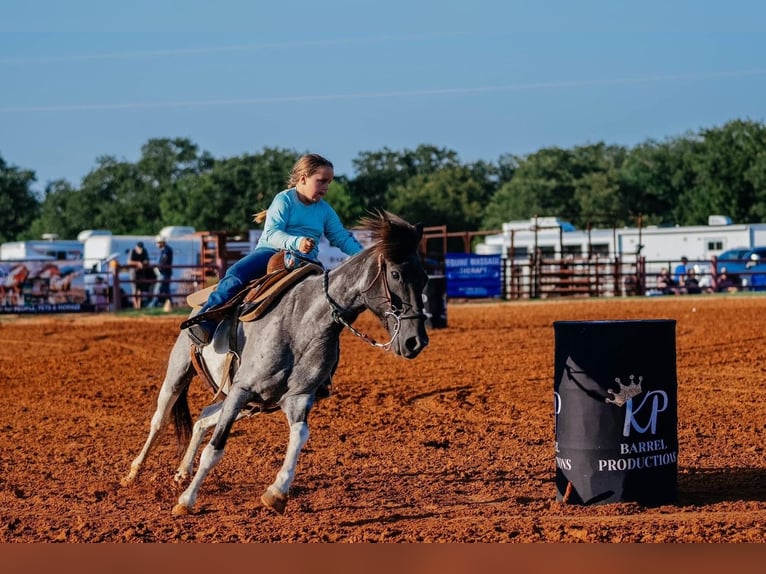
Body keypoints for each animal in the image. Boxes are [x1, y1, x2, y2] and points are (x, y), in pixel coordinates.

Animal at [121, 211, 430, 515]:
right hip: (180, 374)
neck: (302, 323)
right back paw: (133, 474)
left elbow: (300, 435)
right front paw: (186, 501)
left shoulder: (297, 398)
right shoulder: (242, 389)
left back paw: (182, 472)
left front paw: (276, 493)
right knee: (160, 421)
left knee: (203, 418)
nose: (416, 342)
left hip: (250, 406)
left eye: (426, 277)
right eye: (395, 274)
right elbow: (215, 448)